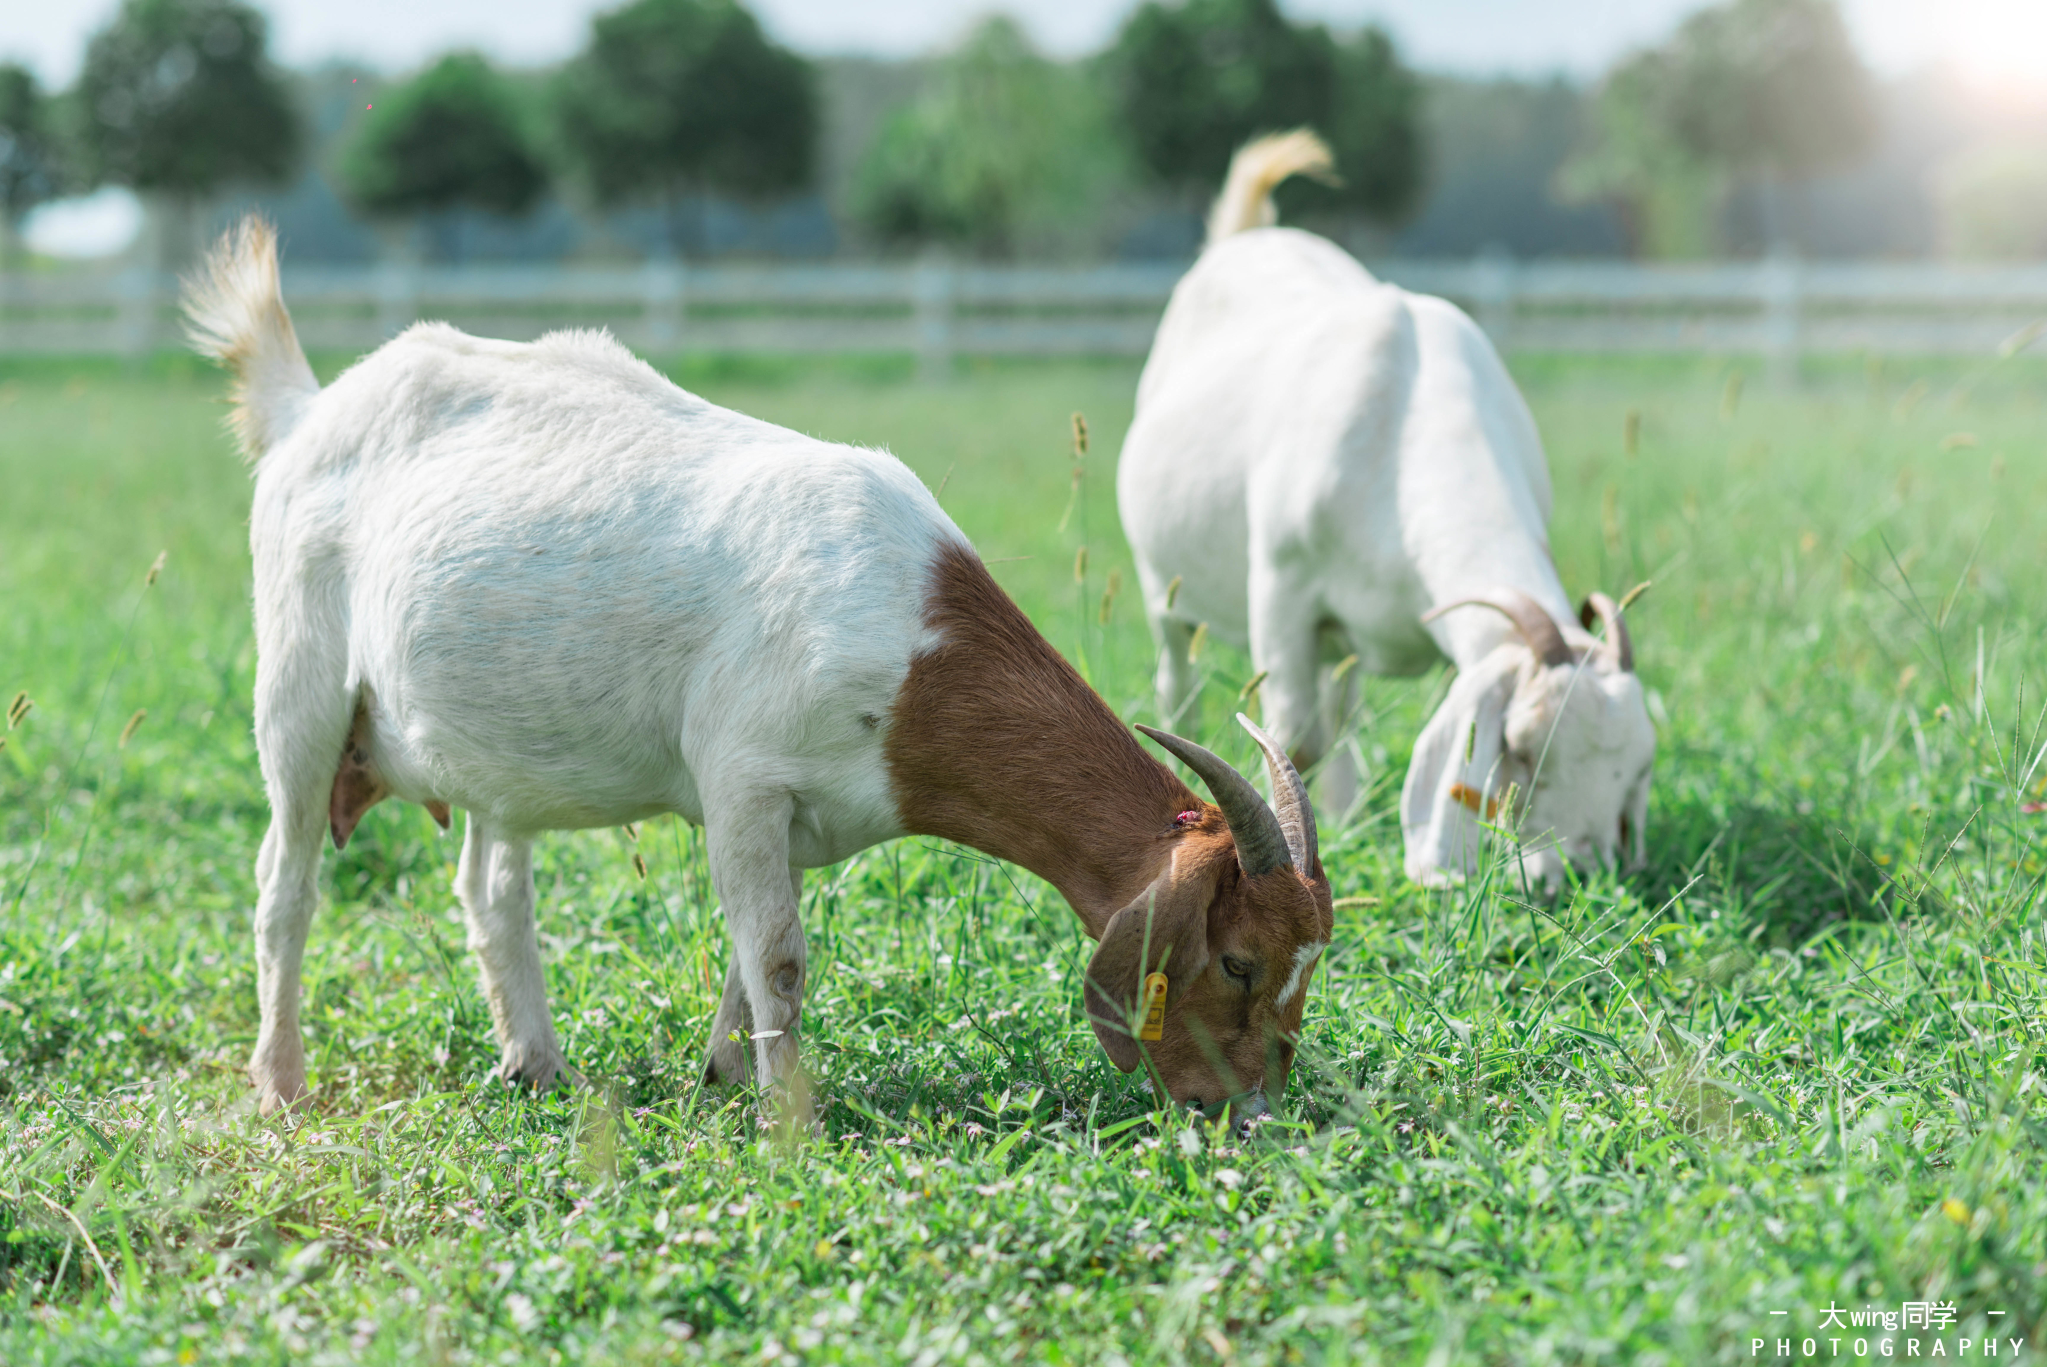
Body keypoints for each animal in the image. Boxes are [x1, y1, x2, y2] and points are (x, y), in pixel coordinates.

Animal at [184, 222, 1334, 1121]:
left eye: (1306, 964)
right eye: (1238, 958)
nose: (1249, 1108)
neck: (913, 637)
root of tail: (306, 408)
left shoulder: (803, 815)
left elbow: (751, 951)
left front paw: (726, 1072)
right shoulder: (741, 779)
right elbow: (779, 954)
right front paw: (792, 1118)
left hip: (494, 744)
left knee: (491, 884)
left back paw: (535, 1062)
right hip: (299, 682)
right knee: (284, 882)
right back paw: (280, 1082)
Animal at [1113, 133, 1653, 892]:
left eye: (1636, 767)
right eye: (1520, 745)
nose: (1578, 873)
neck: (1400, 428)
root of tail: (1247, 235)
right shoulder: (1280, 591)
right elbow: (1296, 734)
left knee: (1342, 698)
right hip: (1159, 580)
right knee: (1178, 677)